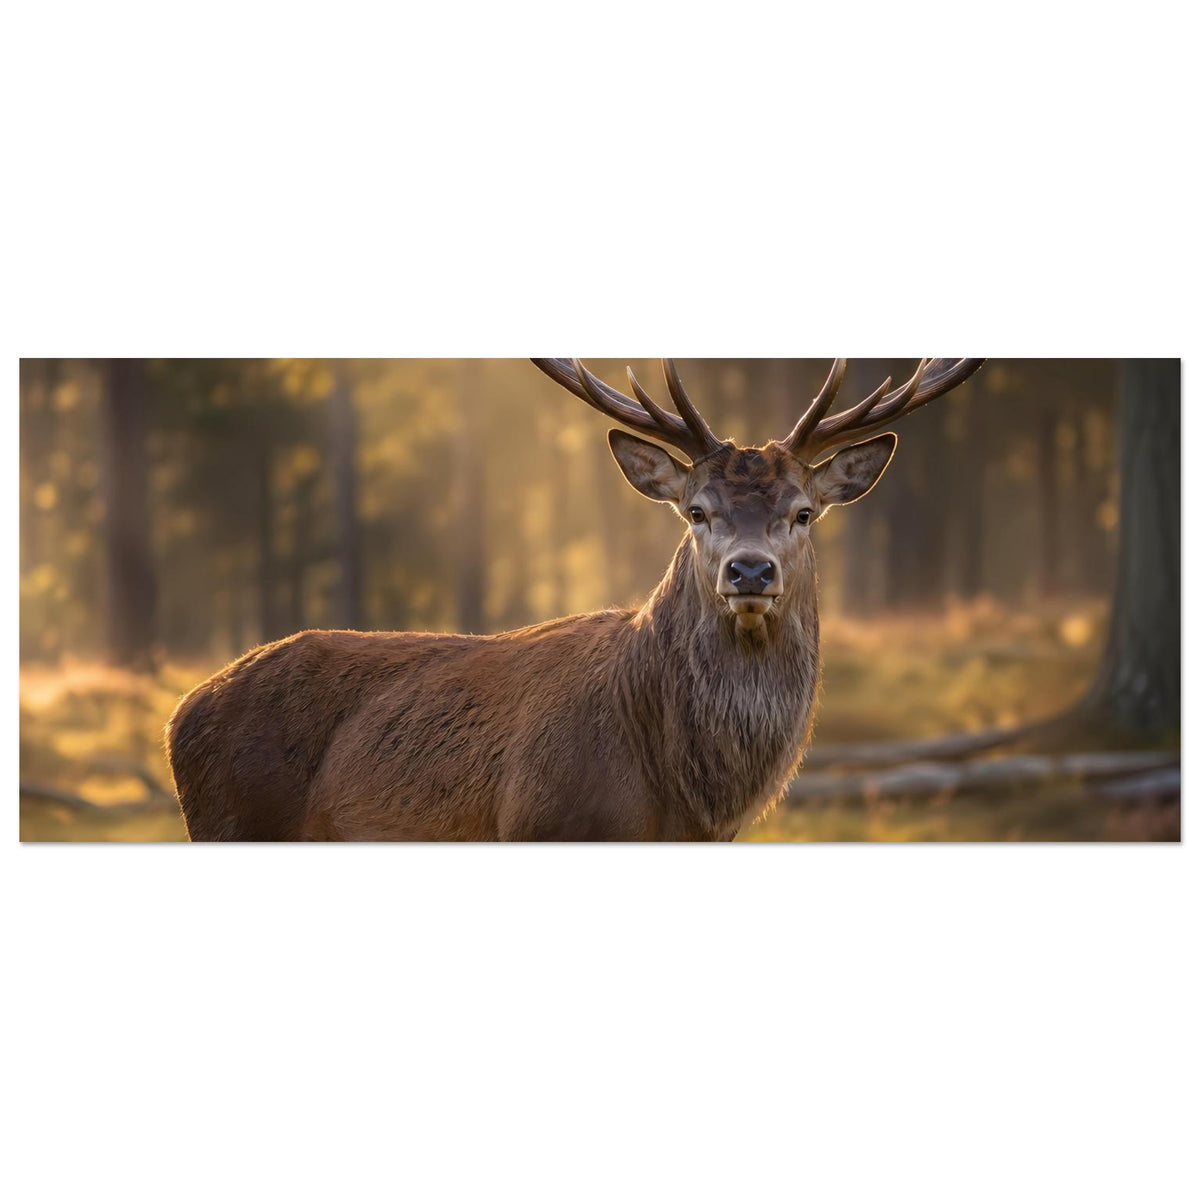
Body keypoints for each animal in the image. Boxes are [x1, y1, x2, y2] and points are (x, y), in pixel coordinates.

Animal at [166, 357, 984, 841]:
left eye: (804, 513)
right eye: (697, 511)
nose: (749, 572)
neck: (680, 802)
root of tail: (182, 711)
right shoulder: (540, 826)